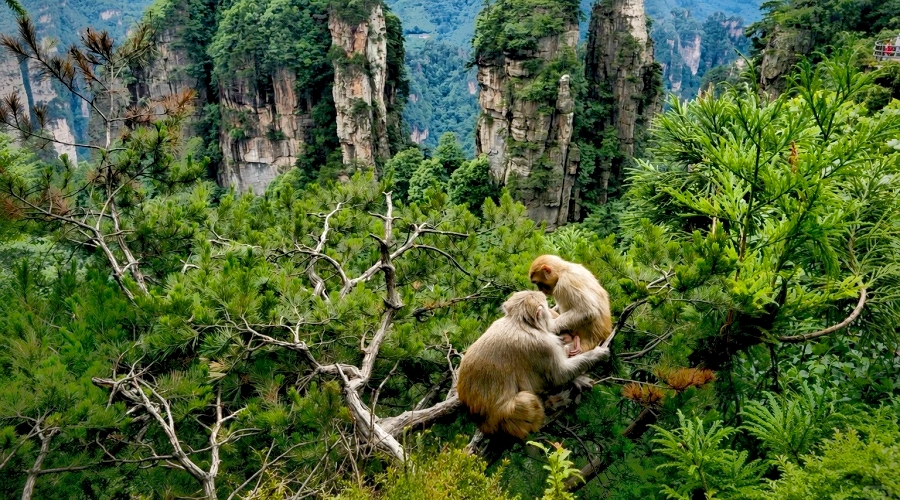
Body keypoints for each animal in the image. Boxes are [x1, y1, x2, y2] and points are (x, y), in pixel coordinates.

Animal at [456, 291, 610, 439]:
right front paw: (597, 354)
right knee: (527, 400)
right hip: (503, 420)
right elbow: (559, 374)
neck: (518, 322)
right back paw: (552, 405)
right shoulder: (543, 345)